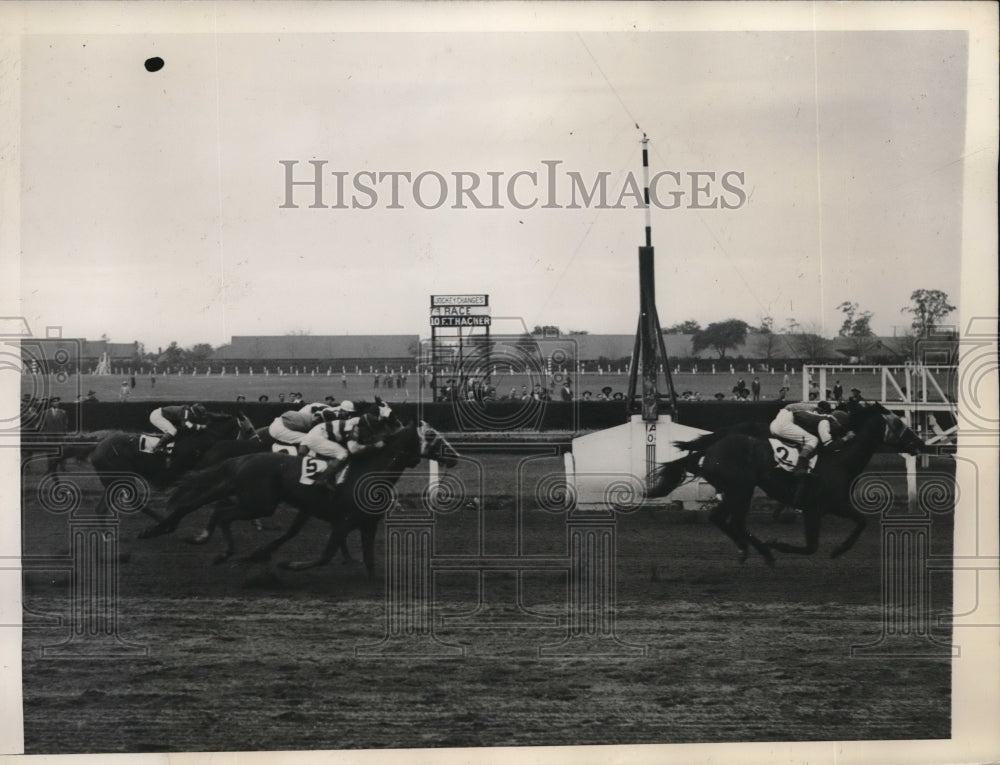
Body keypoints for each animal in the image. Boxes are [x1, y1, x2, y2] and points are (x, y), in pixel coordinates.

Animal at [50, 408, 256, 524]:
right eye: (249, 429)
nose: (258, 441)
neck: (203, 439)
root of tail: (98, 445)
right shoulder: (194, 473)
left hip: (117, 479)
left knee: (114, 506)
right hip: (119, 477)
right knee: (125, 503)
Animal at [137, 418, 458, 572]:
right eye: (433, 436)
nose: (454, 456)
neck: (366, 472)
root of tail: (245, 457)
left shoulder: (366, 524)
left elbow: (368, 562)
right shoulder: (342, 521)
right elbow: (326, 555)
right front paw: (288, 564)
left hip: (247, 495)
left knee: (211, 507)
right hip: (259, 502)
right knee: (221, 511)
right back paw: (216, 547)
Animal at [652, 402, 924, 564]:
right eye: (899, 423)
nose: (920, 443)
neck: (840, 460)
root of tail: (709, 451)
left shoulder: (835, 506)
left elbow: (861, 522)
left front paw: (838, 550)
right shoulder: (814, 508)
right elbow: (812, 546)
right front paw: (778, 543)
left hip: (732, 490)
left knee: (719, 518)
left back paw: (746, 549)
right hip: (742, 489)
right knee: (736, 522)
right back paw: (765, 552)